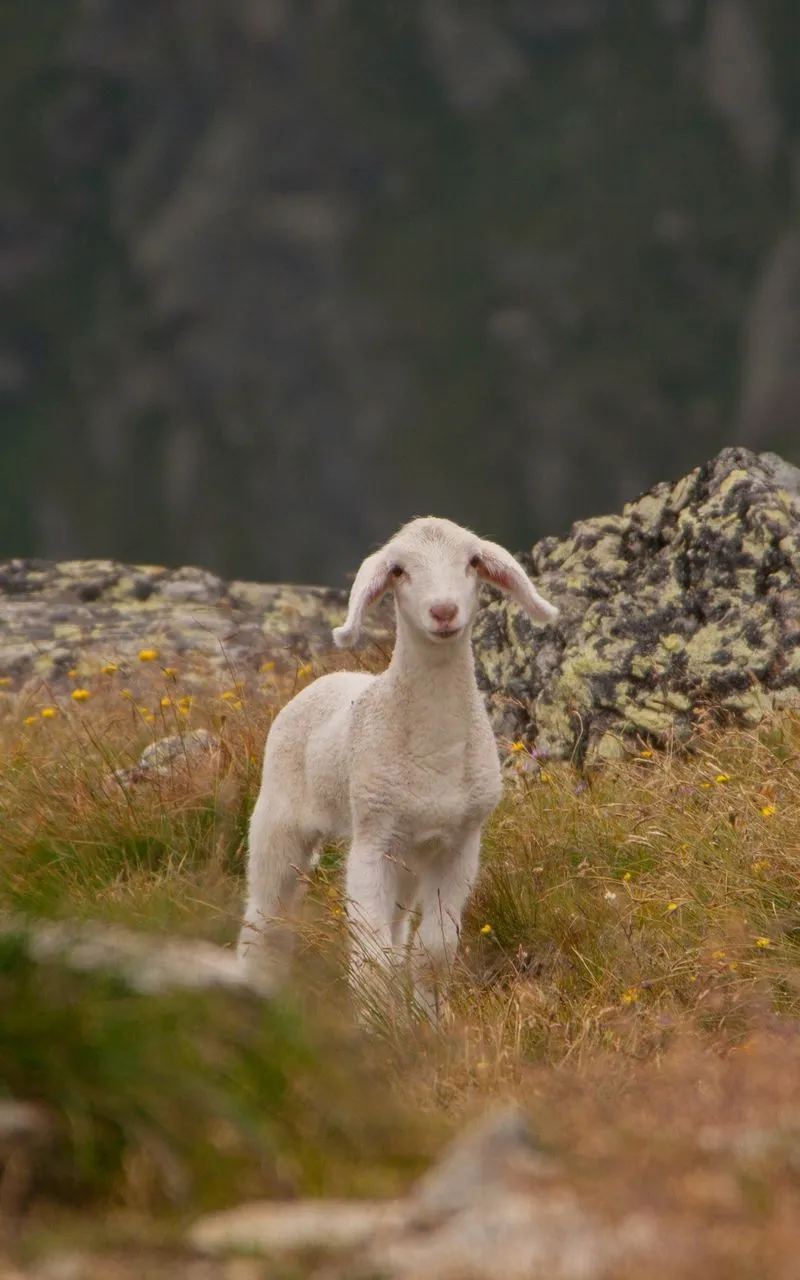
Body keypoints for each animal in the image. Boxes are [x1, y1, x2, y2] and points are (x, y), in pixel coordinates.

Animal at [237, 516, 558, 1019]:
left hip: (407, 859)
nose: (444, 611)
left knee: (393, 928)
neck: (437, 752)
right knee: (265, 917)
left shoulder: (459, 845)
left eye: (473, 561)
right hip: (279, 820)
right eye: (398, 570)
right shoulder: (372, 841)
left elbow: (433, 953)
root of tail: (329, 678)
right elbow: (373, 959)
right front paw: (375, 1027)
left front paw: (428, 1023)